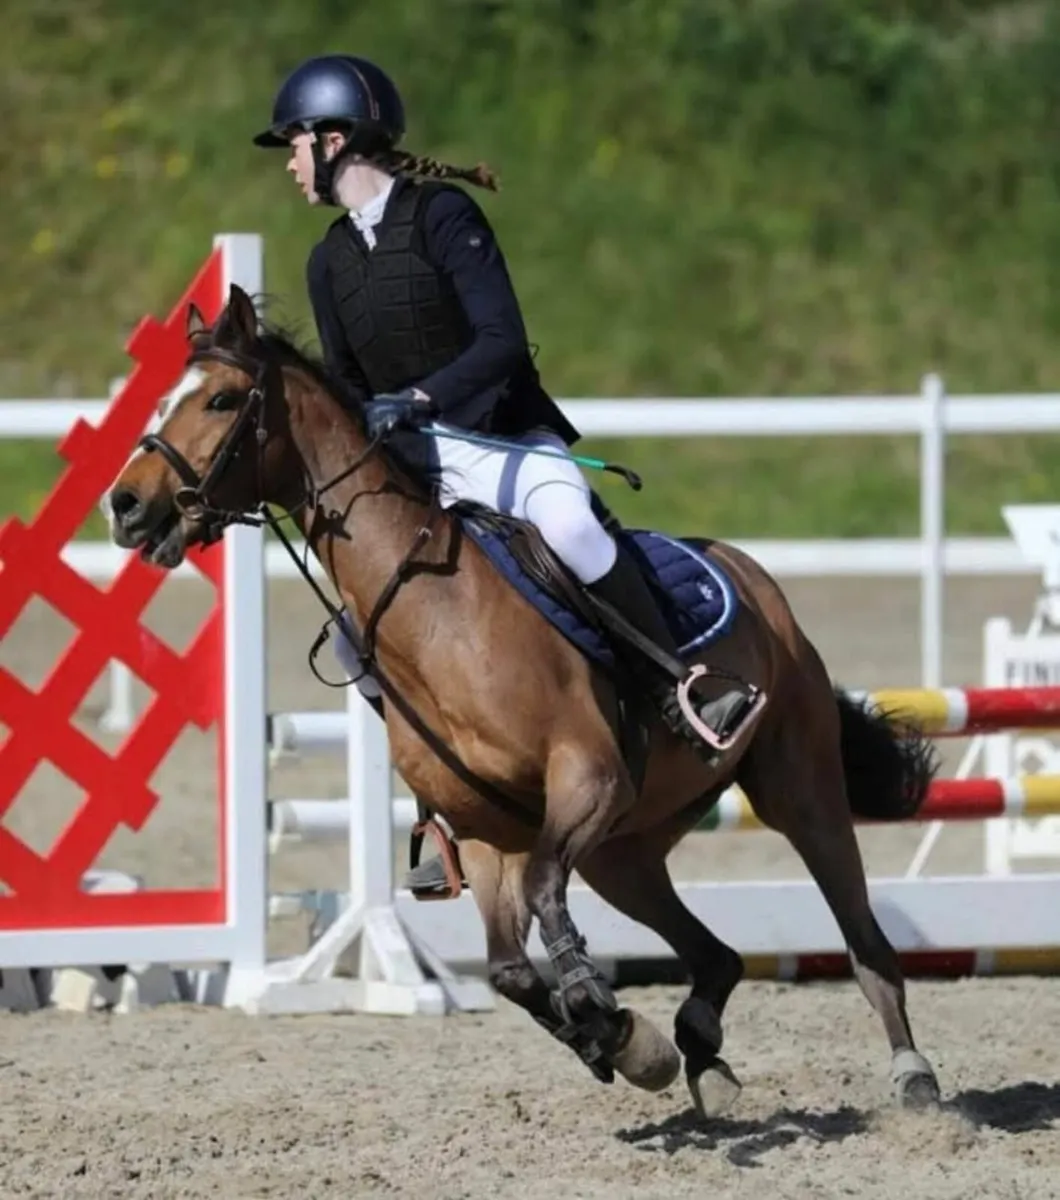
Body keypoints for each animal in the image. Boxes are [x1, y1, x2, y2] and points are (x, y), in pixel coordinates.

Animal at [102, 283, 943, 1119]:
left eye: (220, 399)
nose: (126, 505)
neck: (433, 613)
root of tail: (750, 572)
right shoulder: (485, 833)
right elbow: (509, 969)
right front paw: (617, 1040)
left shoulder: (586, 779)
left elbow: (544, 896)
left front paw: (601, 1010)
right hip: (622, 853)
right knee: (717, 956)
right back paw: (699, 1045)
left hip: (797, 793)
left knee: (863, 941)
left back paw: (914, 1077)